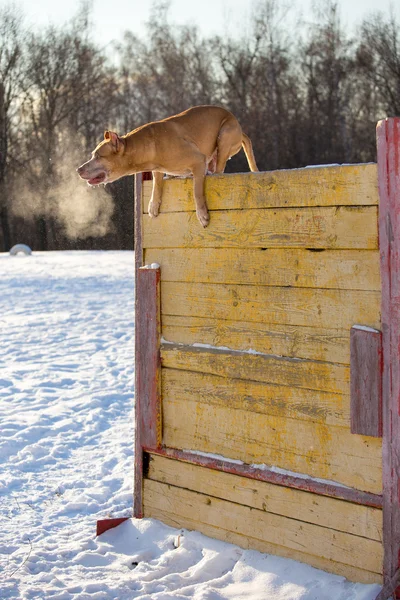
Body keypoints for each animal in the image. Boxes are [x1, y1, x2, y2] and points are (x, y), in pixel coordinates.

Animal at [77, 104, 260, 226]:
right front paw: (153, 205)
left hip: (225, 134)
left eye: (98, 156)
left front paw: (202, 214)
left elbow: (197, 191)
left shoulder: (198, 160)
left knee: (219, 169)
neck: (149, 146)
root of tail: (240, 128)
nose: (78, 169)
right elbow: (156, 184)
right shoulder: (158, 168)